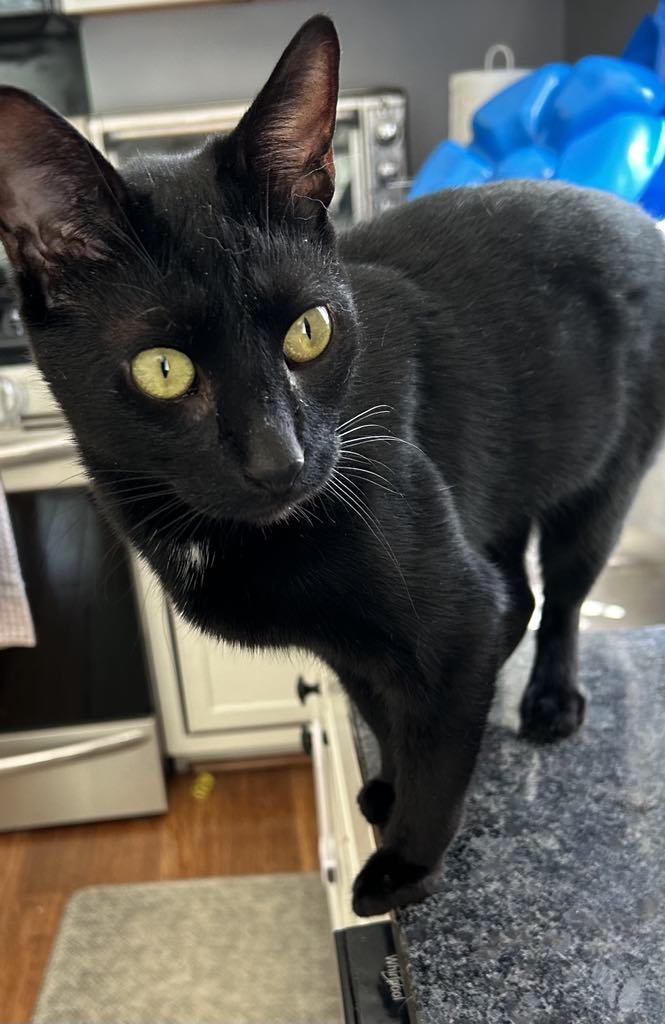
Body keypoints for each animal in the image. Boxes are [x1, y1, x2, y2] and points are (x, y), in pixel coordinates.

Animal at [1, 16, 663, 917]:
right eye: (162, 369)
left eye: (309, 330)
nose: (280, 459)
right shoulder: (347, 642)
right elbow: (382, 710)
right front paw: (386, 787)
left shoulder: (446, 613)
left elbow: (436, 735)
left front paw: (403, 863)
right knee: (516, 598)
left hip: (601, 482)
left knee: (558, 598)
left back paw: (549, 700)